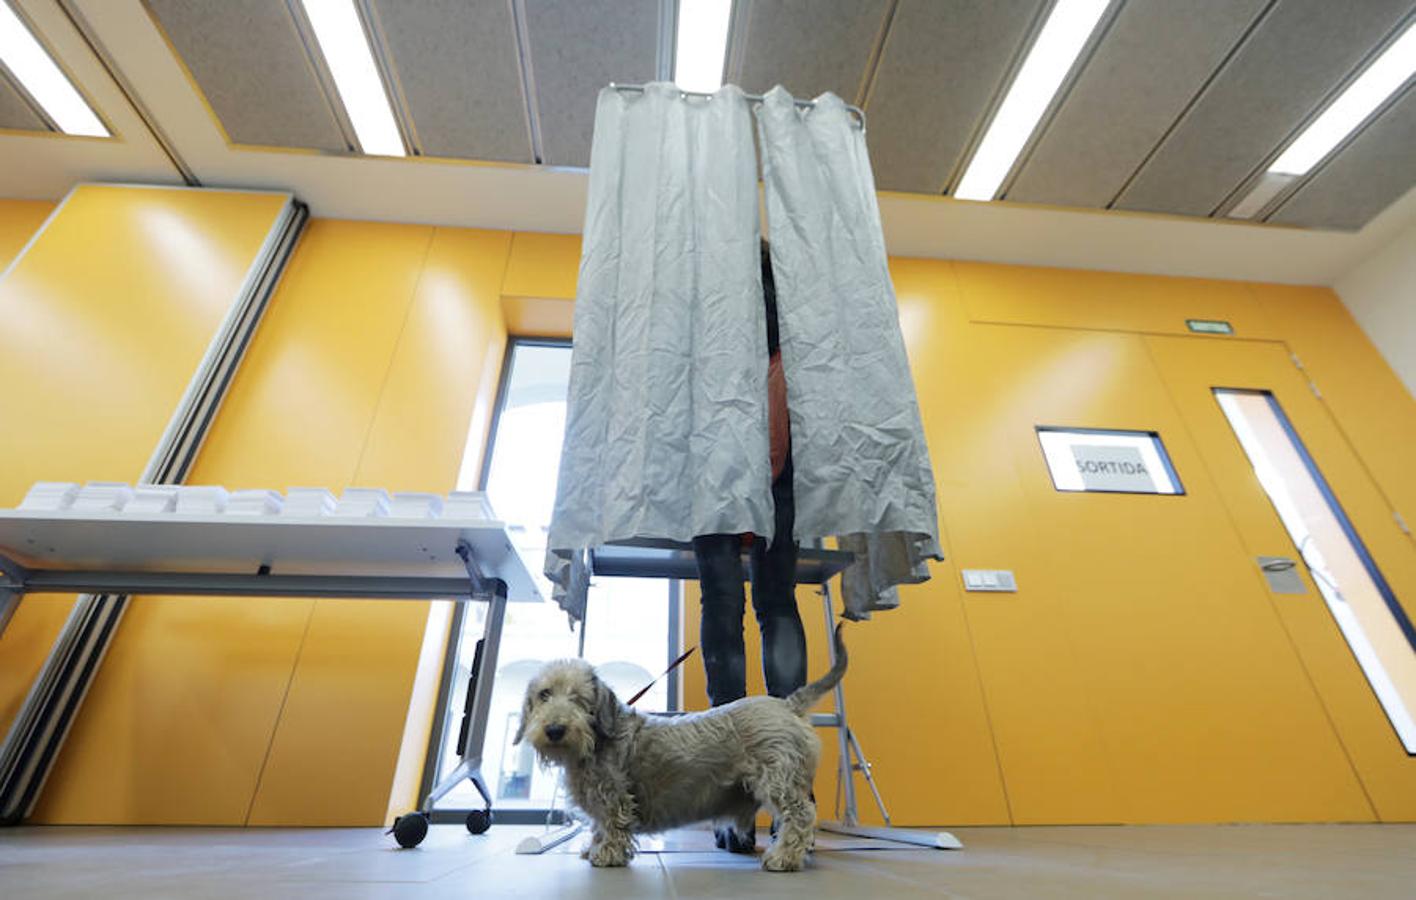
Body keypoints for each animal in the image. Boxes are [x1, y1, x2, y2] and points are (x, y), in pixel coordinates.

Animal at [515, 622, 843, 866]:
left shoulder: (613, 797)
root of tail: (787, 704)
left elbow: (612, 824)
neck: (595, 743)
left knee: (801, 816)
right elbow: (597, 827)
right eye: (544, 694)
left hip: (779, 783)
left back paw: (784, 857)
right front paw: (591, 847)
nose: (555, 730)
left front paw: (606, 853)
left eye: (579, 698)